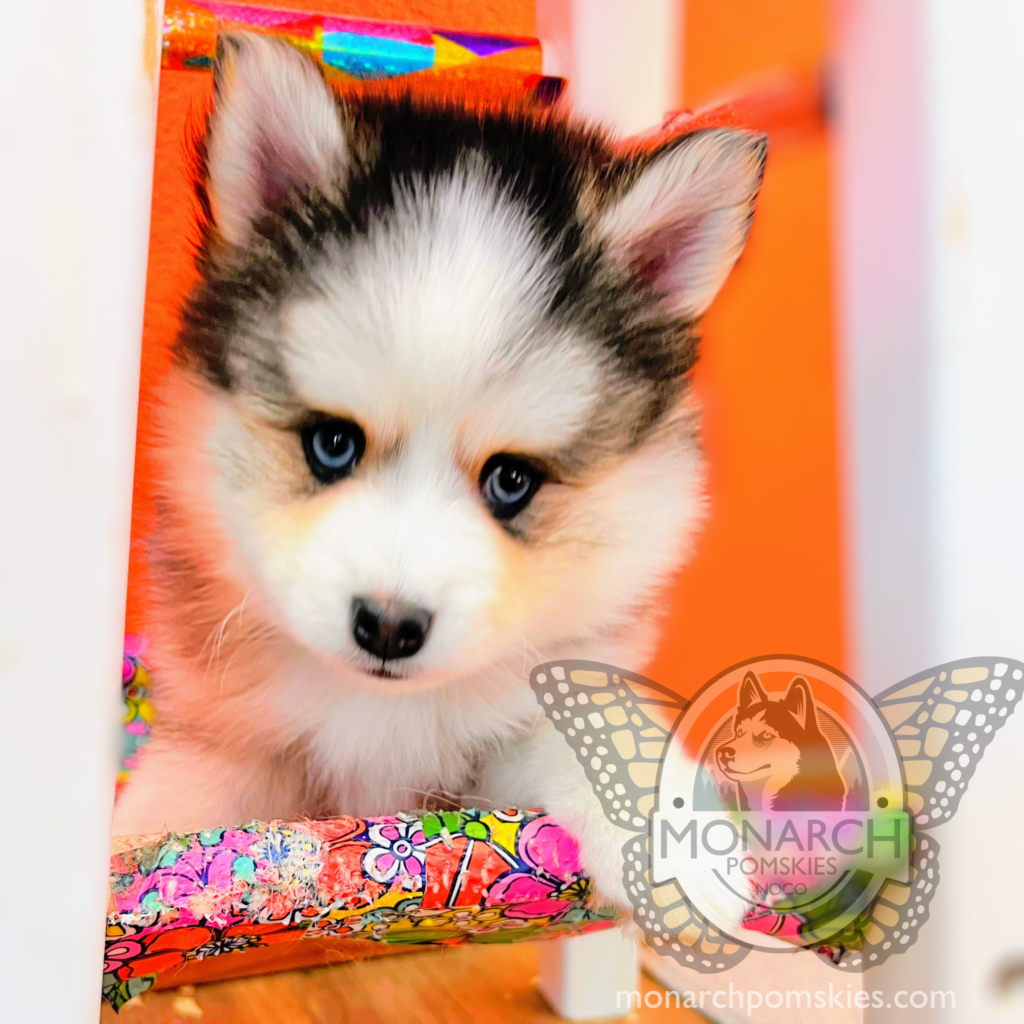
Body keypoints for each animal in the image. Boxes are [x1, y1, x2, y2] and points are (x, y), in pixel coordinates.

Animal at [114, 29, 770, 905]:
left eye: (511, 480)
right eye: (331, 442)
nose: (390, 626)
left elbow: (587, 734)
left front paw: (685, 851)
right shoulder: (229, 740)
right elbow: (171, 812)